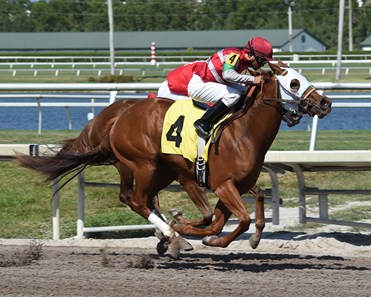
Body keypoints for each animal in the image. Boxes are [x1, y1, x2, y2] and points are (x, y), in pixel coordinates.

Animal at [16, 60, 332, 256]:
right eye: (294, 82)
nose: (325, 102)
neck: (243, 132)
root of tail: (119, 114)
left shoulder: (234, 185)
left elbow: (240, 209)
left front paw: (209, 234)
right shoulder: (221, 184)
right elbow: (235, 219)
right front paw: (187, 231)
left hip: (158, 170)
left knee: (138, 199)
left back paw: (171, 235)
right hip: (144, 165)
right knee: (137, 201)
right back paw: (173, 236)